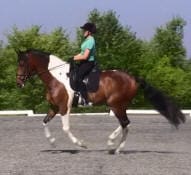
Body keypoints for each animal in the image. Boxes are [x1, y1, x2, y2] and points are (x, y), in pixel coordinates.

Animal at [15, 49, 186, 153]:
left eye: (22, 63)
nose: (19, 83)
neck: (56, 77)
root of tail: (133, 78)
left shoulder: (64, 107)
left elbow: (65, 128)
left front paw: (81, 144)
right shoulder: (54, 107)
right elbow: (44, 122)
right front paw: (52, 143)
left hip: (115, 105)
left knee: (125, 123)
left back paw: (111, 144)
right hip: (120, 106)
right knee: (125, 124)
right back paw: (117, 149)